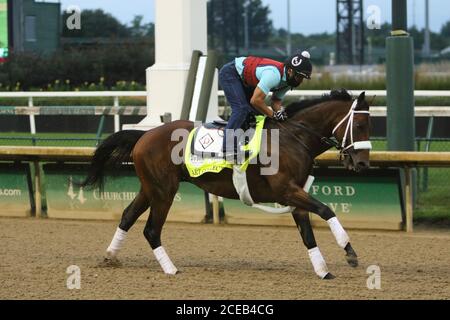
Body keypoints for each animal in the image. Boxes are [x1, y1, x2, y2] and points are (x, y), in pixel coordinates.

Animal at [81, 89, 372, 278]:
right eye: (359, 124)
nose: (363, 163)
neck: (292, 138)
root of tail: (145, 135)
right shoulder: (286, 190)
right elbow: (326, 210)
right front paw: (350, 253)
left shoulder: (295, 194)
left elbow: (308, 233)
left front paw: (323, 271)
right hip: (164, 191)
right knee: (151, 230)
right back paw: (171, 269)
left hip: (150, 187)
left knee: (128, 216)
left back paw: (110, 256)